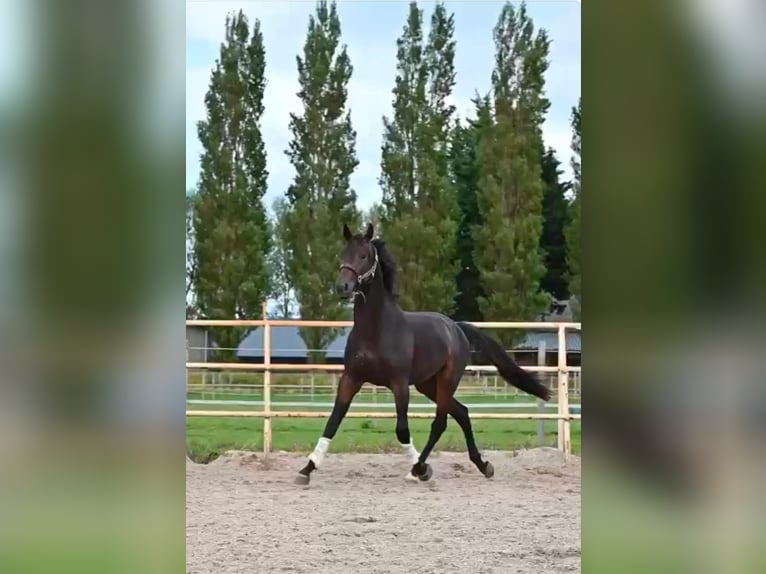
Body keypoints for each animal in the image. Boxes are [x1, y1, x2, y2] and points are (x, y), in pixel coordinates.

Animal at [294, 224, 552, 486]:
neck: (376, 330)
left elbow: (402, 430)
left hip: (447, 380)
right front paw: (307, 469)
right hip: (428, 384)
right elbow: (332, 422)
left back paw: (419, 468)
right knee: (462, 413)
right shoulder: (351, 379)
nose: (342, 287)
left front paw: (422, 469)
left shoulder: (399, 384)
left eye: (364, 256)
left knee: (441, 422)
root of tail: (456, 327)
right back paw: (483, 465)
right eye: (342, 255)